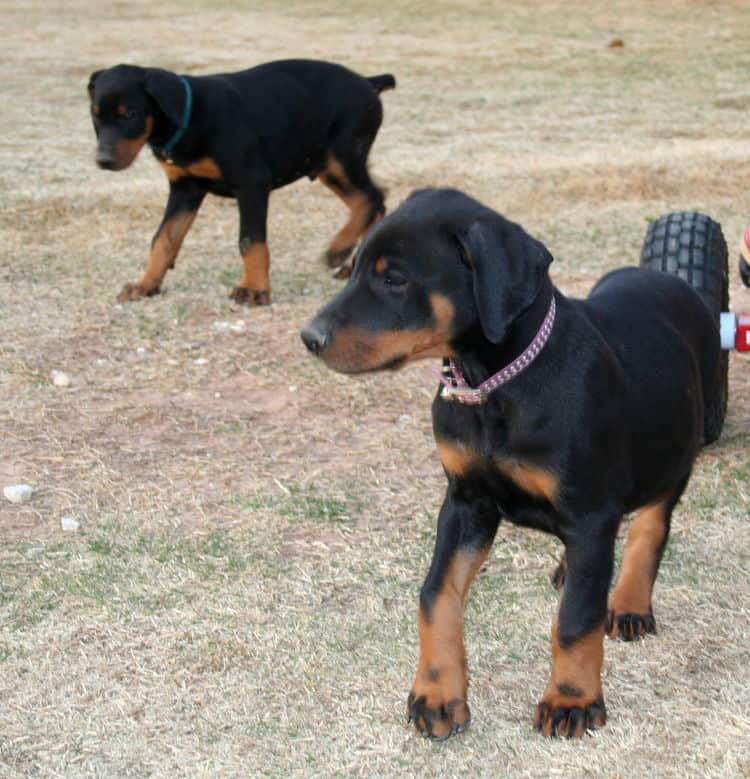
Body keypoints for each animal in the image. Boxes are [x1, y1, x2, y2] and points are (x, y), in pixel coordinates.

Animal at [88, 58, 396, 304]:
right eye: (95, 115)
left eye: (130, 114)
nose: (103, 160)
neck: (190, 116)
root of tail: (368, 82)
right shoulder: (185, 188)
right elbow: (163, 238)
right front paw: (146, 284)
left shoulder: (251, 184)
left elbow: (250, 240)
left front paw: (254, 289)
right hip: (326, 165)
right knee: (372, 203)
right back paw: (353, 264)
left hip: (341, 157)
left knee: (371, 199)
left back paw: (338, 250)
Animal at [302, 190, 724, 744]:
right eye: (351, 271)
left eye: (395, 279)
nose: (309, 338)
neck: (494, 384)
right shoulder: (465, 501)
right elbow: (435, 595)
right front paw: (437, 693)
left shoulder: (590, 510)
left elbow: (576, 620)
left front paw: (571, 700)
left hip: (679, 443)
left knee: (651, 523)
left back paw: (629, 601)